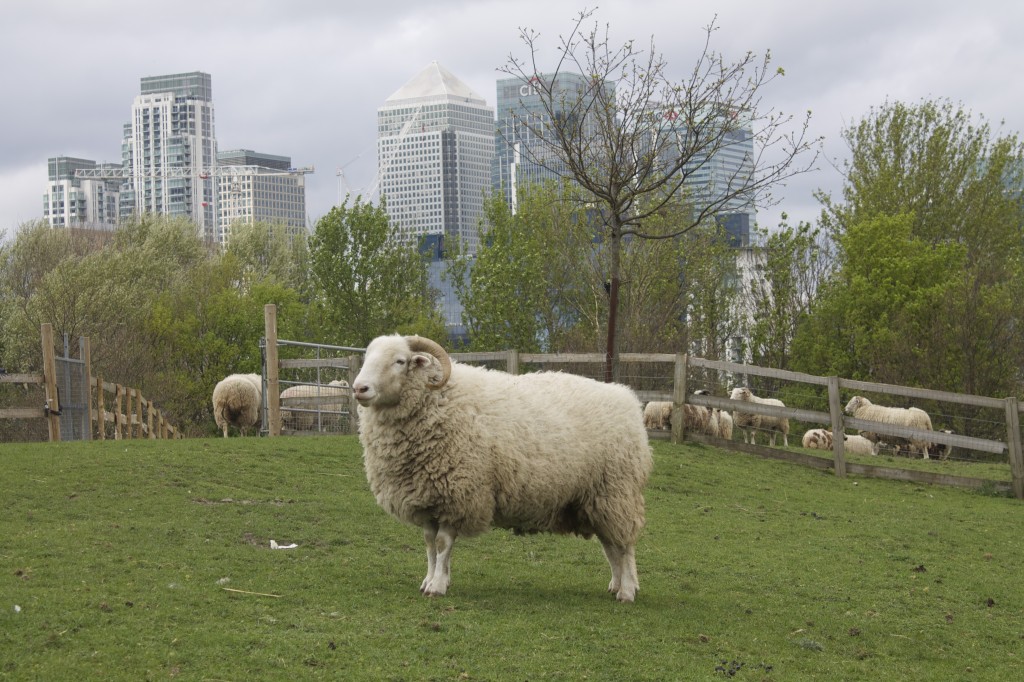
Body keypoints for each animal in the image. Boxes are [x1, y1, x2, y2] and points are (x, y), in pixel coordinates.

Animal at [353, 334, 653, 603]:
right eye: (367, 358)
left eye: (400, 361)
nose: (359, 388)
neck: (439, 399)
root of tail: (627, 398)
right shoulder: (428, 497)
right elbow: (429, 544)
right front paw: (431, 580)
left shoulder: (459, 495)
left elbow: (442, 544)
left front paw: (436, 587)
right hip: (594, 500)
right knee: (611, 546)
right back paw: (616, 585)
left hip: (617, 492)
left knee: (625, 545)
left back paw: (627, 591)